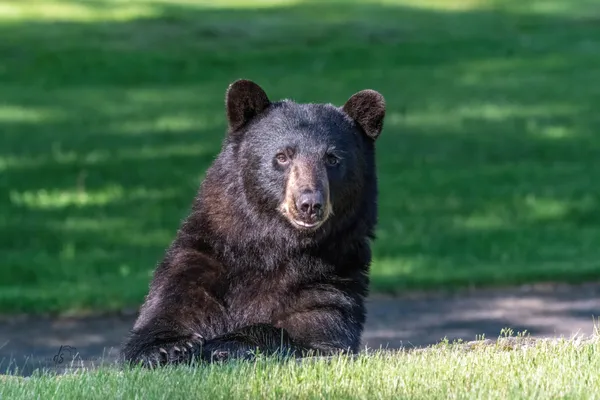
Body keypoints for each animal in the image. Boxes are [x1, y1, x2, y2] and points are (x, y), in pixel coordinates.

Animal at [119, 79, 386, 368]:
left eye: (332, 158)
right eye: (282, 156)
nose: (309, 204)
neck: (271, 248)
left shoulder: (330, 277)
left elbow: (315, 334)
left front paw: (225, 344)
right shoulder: (200, 262)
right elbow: (165, 312)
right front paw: (168, 347)